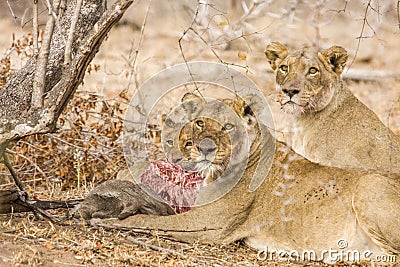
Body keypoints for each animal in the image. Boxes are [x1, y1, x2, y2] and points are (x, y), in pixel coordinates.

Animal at [90, 94, 400, 264]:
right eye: (200, 122)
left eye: (228, 126)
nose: (206, 148)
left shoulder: (211, 225)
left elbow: (149, 222)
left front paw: (105, 220)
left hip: (370, 185)